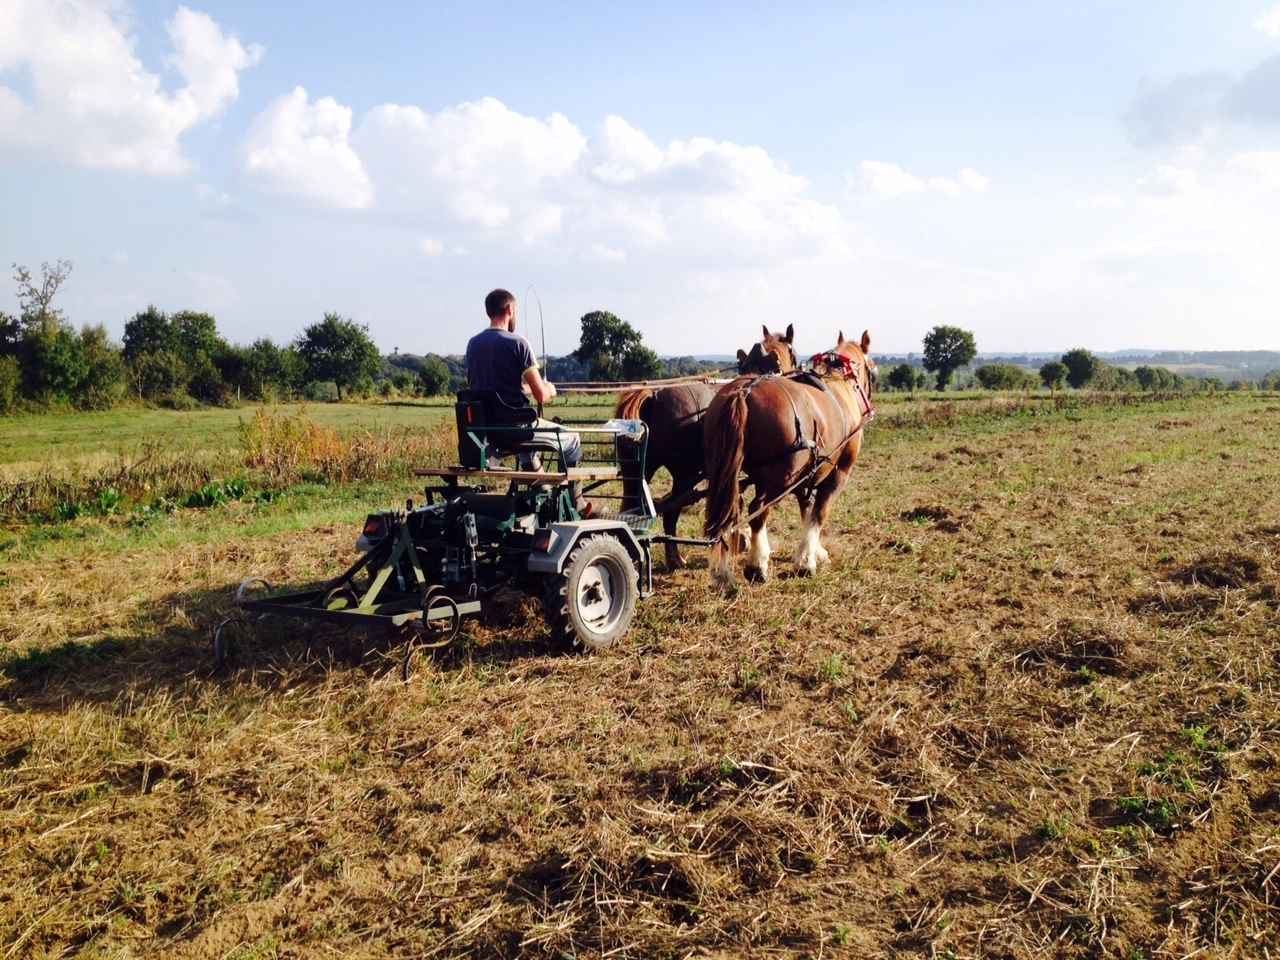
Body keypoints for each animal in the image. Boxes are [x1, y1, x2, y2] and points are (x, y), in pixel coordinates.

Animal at [616, 330, 793, 570]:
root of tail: (653, 395)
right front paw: (740, 541)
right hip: (683, 475)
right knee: (670, 512)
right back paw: (675, 558)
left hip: (637, 472)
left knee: (631, 511)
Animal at [701, 330, 880, 586]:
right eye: (872, 371)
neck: (840, 382)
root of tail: (743, 391)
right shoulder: (839, 473)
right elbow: (819, 512)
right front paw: (806, 562)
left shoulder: (804, 476)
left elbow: (806, 511)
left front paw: (813, 551)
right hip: (780, 479)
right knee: (758, 510)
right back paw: (756, 567)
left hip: (727, 474)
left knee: (727, 512)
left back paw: (722, 571)